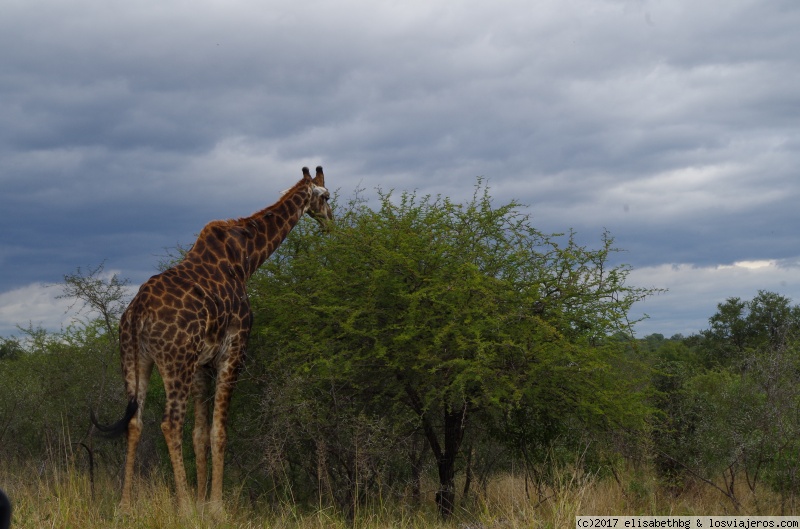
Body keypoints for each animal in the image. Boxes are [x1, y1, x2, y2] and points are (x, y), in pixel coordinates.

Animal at [92, 165, 332, 512]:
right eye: (326, 196)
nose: (330, 221)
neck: (246, 260)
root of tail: (136, 314)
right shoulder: (234, 349)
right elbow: (219, 431)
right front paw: (214, 507)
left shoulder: (201, 364)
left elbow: (200, 434)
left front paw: (203, 501)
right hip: (174, 361)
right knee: (169, 423)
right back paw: (183, 509)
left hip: (134, 359)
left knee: (135, 422)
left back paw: (125, 507)